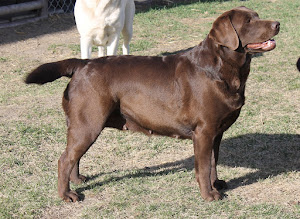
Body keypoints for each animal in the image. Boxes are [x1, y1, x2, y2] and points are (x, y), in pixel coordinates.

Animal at [25, 6, 278, 202]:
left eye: (257, 15)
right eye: (248, 21)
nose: (277, 23)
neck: (223, 68)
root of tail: (82, 64)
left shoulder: (217, 132)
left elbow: (214, 161)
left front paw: (217, 184)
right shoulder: (204, 131)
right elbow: (204, 166)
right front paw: (209, 195)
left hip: (82, 124)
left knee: (73, 155)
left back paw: (77, 179)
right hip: (88, 121)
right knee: (64, 159)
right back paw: (67, 194)